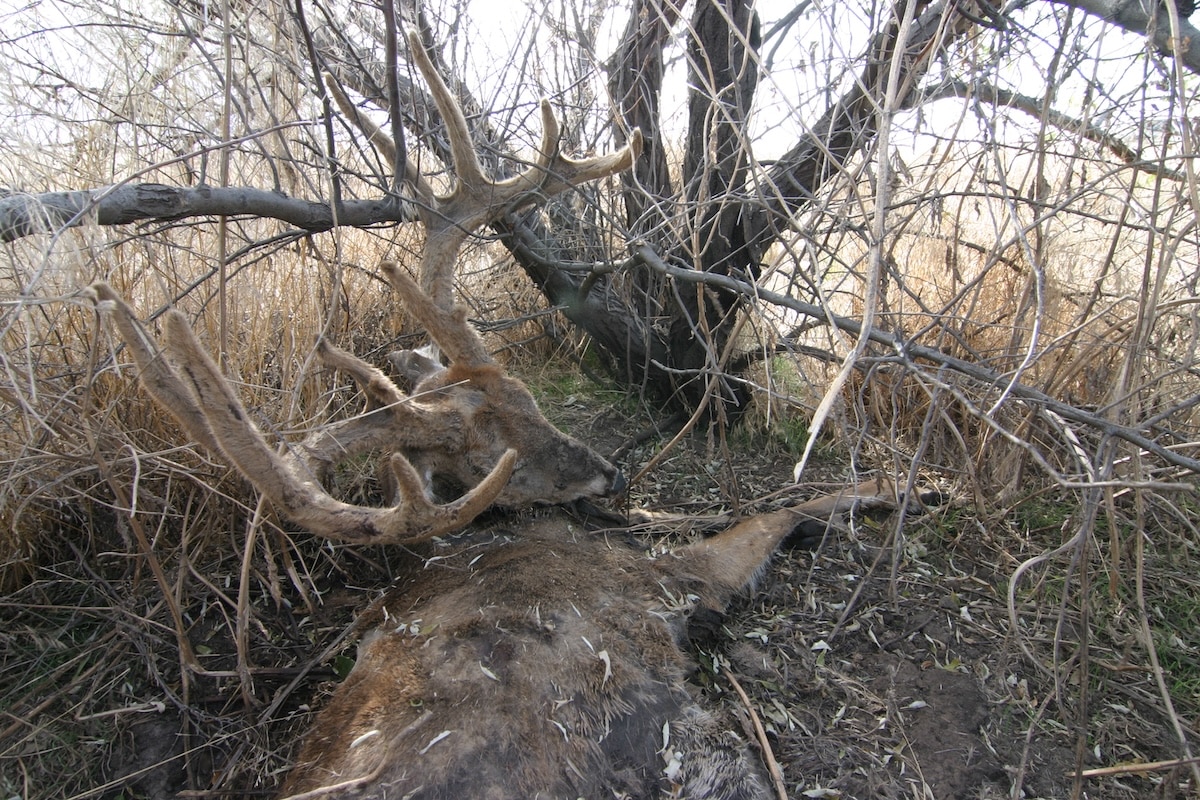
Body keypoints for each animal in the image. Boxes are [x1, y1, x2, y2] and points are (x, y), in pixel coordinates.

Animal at [89, 33, 914, 799]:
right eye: (496, 458)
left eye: (528, 399)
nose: (611, 475)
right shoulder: (658, 578)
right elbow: (777, 512)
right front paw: (901, 486)